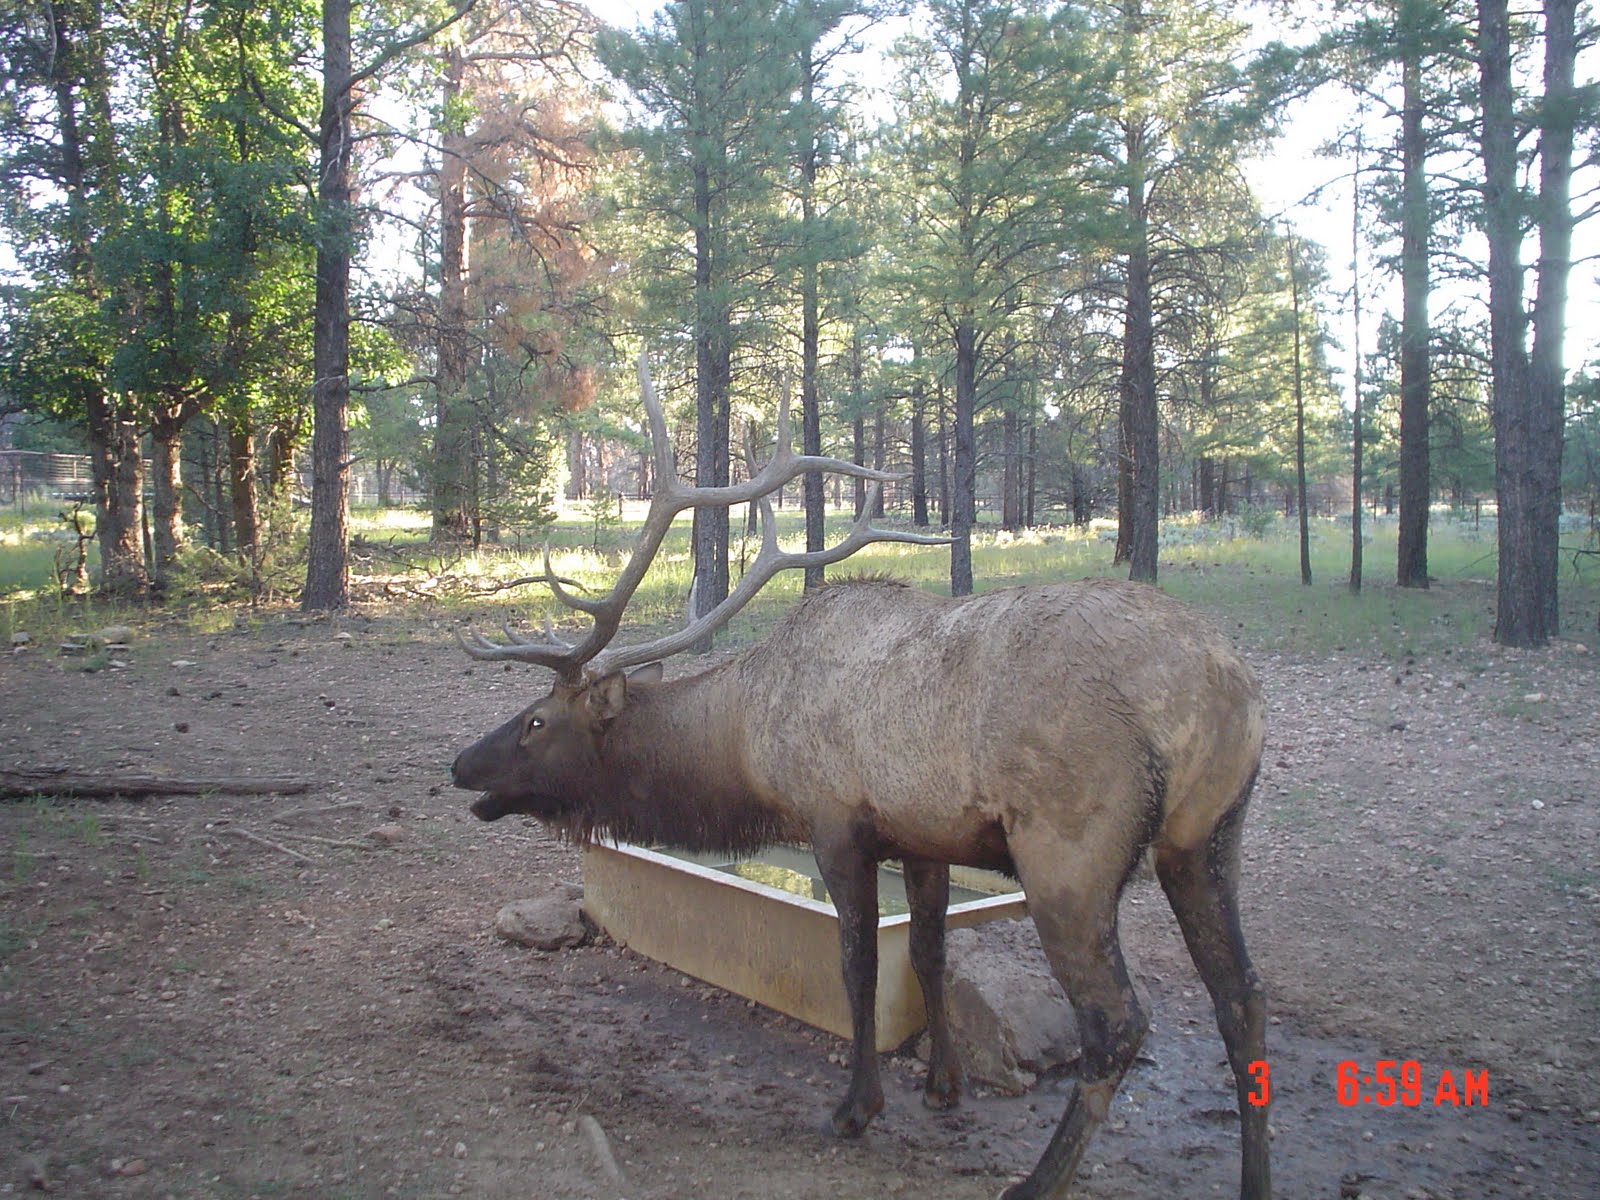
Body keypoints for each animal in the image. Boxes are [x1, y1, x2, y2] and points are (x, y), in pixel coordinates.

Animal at [450, 355, 1270, 1200]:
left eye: (536, 721)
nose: (460, 765)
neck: (748, 745)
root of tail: (1225, 688)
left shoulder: (836, 822)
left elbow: (858, 964)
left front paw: (857, 1107)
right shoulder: (926, 837)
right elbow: (928, 953)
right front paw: (942, 1086)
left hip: (1070, 851)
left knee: (1118, 1023)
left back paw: (1038, 1180)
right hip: (1208, 837)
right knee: (1242, 997)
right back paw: (1255, 1177)